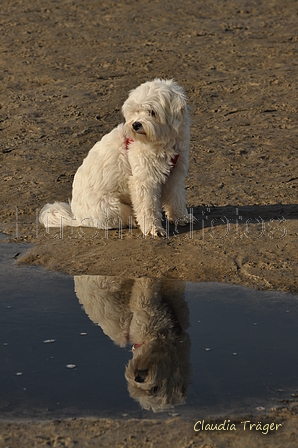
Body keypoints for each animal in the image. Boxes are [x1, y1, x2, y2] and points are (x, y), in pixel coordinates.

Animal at [39, 79, 191, 236]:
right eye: (136, 111)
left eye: (152, 112)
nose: (135, 124)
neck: (162, 142)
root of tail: (77, 218)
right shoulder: (144, 182)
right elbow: (147, 207)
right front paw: (153, 228)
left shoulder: (175, 174)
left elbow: (176, 197)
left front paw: (180, 217)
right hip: (112, 208)